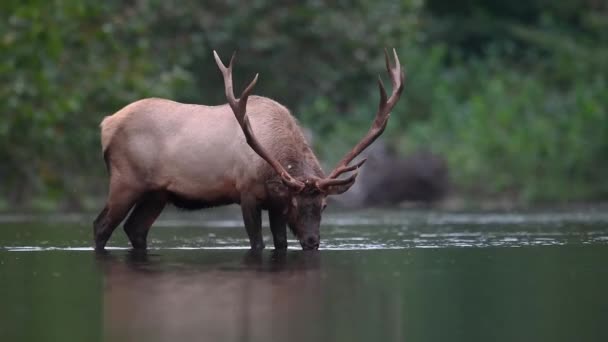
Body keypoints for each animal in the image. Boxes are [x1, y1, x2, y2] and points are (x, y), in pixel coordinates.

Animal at [94, 48, 404, 251]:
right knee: (102, 225)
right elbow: (257, 243)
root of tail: (106, 124)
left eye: (325, 205)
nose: (312, 242)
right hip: (126, 180)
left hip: (156, 193)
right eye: (295, 204)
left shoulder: (275, 204)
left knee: (135, 229)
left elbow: (280, 243)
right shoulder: (247, 193)